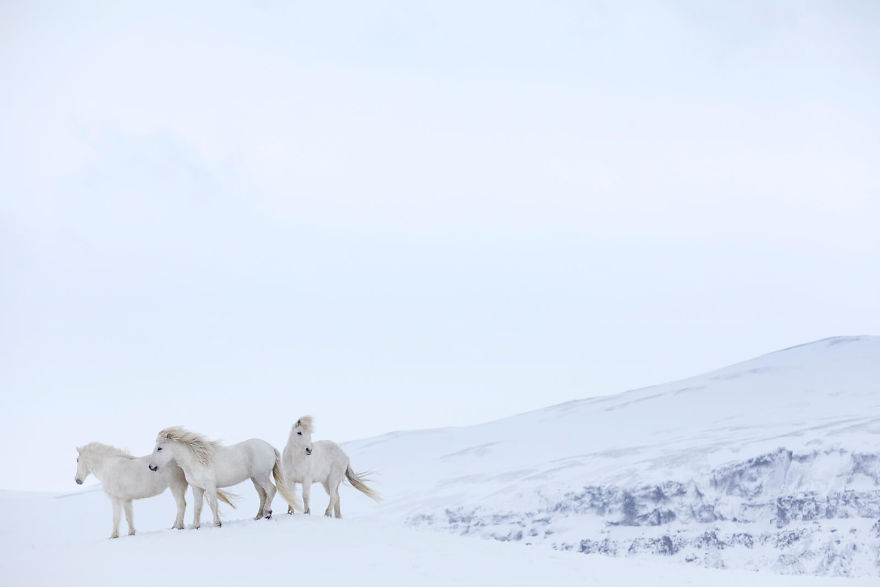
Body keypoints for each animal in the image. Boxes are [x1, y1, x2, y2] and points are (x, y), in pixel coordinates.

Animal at [148, 428, 302, 528]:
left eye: (159, 448)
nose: (151, 467)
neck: (197, 460)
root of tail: (270, 447)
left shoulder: (210, 486)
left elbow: (213, 504)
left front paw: (217, 523)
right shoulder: (197, 488)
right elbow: (198, 507)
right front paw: (195, 526)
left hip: (261, 476)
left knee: (271, 490)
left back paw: (268, 512)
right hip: (255, 479)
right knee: (263, 495)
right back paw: (258, 516)